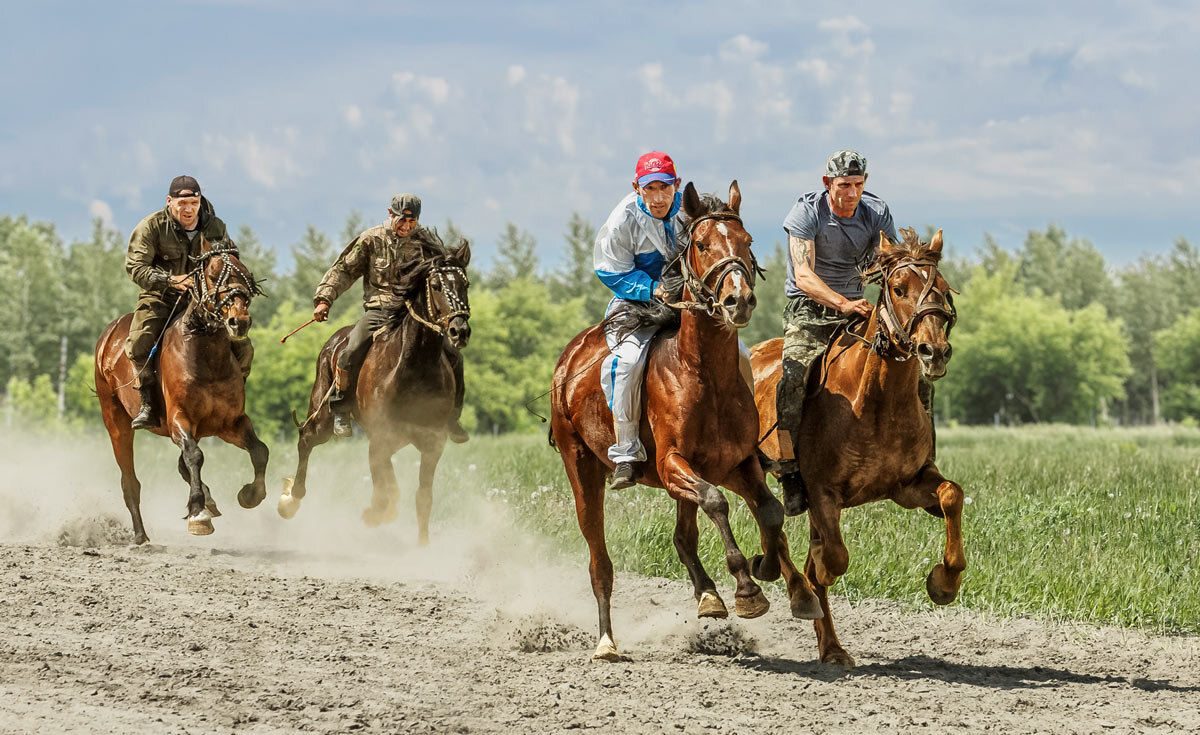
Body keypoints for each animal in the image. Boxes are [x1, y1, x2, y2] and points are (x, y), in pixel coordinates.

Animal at [96, 237, 270, 542]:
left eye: (246, 274)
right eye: (212, 274)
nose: (239, 321)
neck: (205, 356)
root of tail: (107, 337)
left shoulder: (230, 423)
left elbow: (260, 450)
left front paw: (249, 495)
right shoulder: (180, 419)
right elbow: (194, 456)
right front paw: (198, 514)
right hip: (115, 422)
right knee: (130, 481)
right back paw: (141, 536)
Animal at [278, 237, 470, 542]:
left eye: (465, 284)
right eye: (436, 285)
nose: (459, 331)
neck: (413, 370)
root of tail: (335, 340)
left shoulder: (432, 442)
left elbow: (421, 497)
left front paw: (423, 545)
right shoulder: (380, 437)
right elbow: (385, 493)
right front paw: (375, 515)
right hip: (323, 416)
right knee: (306, 440)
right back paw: (290, 500)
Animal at [552, 182, 825, 658]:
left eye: (747, 241)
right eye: (700, 244)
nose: (738, 300)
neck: (702, 373)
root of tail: (567, 362)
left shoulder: (736, 462)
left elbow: (770, 511)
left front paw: (780, 578)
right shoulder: (670, 463)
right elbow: (716, 503)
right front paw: (746, 589)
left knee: (685, 536)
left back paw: (718, 593)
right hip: (581, 466)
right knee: (599, 558)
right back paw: (606, 640)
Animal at [748, 228, 964, 667]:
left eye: (943, 287)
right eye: (898, 288)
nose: (934, 351)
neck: (876, 404)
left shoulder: (909, 485)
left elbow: (952, 495)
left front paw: (944, 583)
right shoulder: (822, 493)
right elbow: (832, 558)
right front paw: (812, 580)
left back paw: (830, 646)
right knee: (773, 525)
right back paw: (793, 590)